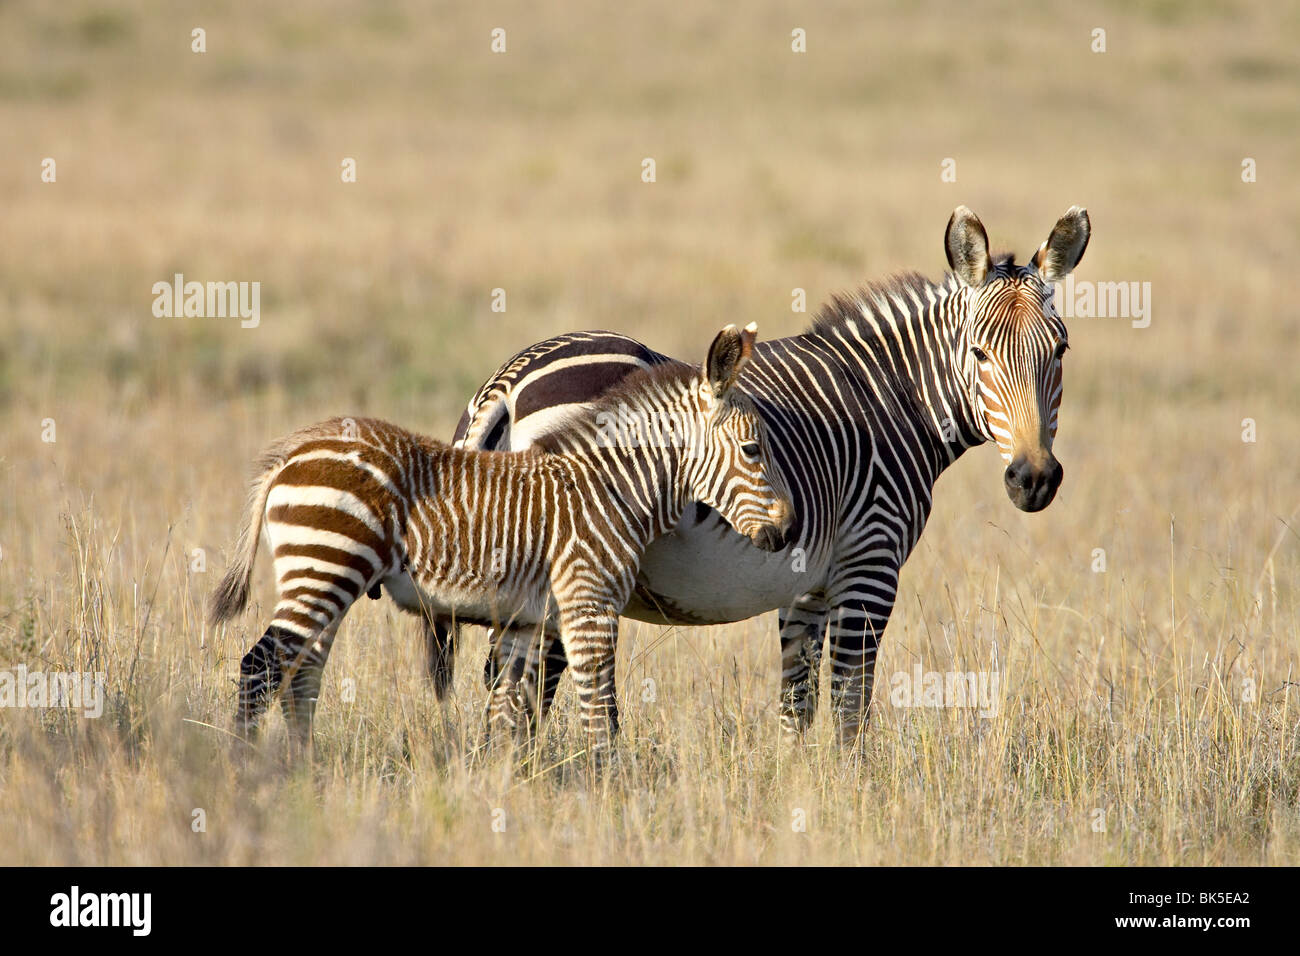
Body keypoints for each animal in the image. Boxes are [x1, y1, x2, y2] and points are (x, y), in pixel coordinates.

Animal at [210, 325, 790, 759]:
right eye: (753, 449)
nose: (786, 533)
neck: (611, 487)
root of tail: (292, 451)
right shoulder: (588, 604)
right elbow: (596, 710)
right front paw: (607, 789)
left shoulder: (528, 618)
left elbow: (512, 709)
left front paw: (507, 786)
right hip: (326, 565)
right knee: (260, 668)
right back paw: (244, 771)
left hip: (323, 578)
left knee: (300, 675)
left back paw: (301, 772)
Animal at [434, 205, 1086, 749]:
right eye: (979, 353)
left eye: (1059, 350)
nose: (1033, 479)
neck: (890, 398)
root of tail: (507, 383)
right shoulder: (870, 564)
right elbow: (850, 707)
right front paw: (853, 797)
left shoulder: (807, 584)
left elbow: (797, 703)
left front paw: (800, 791)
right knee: (521, 691)